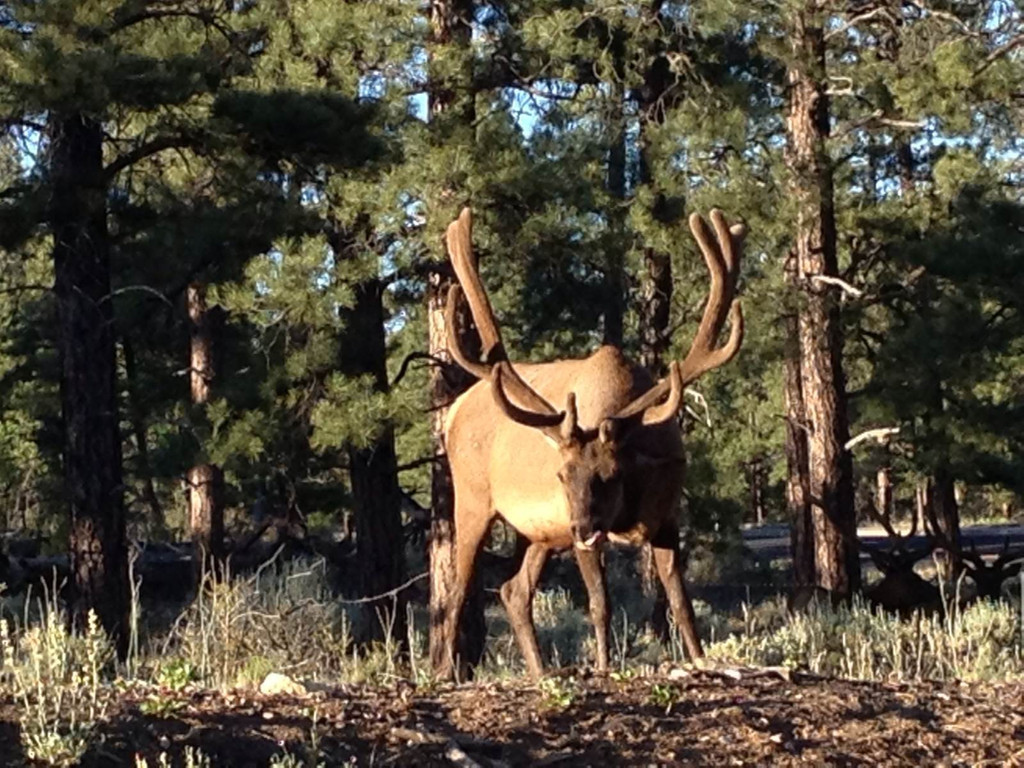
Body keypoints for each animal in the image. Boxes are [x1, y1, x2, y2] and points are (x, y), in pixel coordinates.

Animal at [440, 205, 745, 679]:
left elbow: (681, 602)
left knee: (513, 590)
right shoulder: (579, 528)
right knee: (456, 589)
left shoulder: (667, 516)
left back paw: (540, 672)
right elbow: (601, 605)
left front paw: (699, 660)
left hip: (540, 534)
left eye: (610, 474)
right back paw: (440, 673)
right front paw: (603, 667)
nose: (582, 528)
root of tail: (454, 411)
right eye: (562, 475)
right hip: (474, 500)